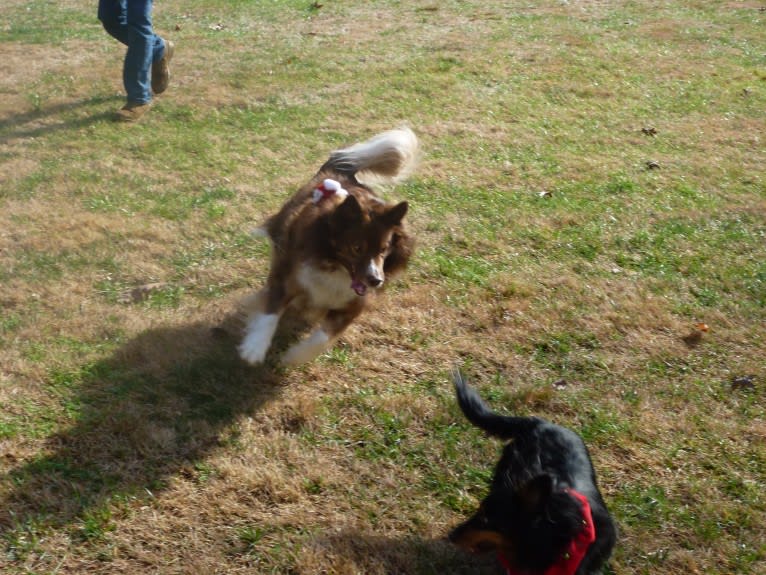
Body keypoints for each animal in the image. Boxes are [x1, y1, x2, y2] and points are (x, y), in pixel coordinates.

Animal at [240, 128, 420, 366]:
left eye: (384, 249)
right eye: (357, 248)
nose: (376, 281)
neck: (333, 265)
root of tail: (341, 174)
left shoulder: (353, 306)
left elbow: (323, 337)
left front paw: (293, 357)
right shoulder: (286, 276)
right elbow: (270, 314)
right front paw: (254, 348)